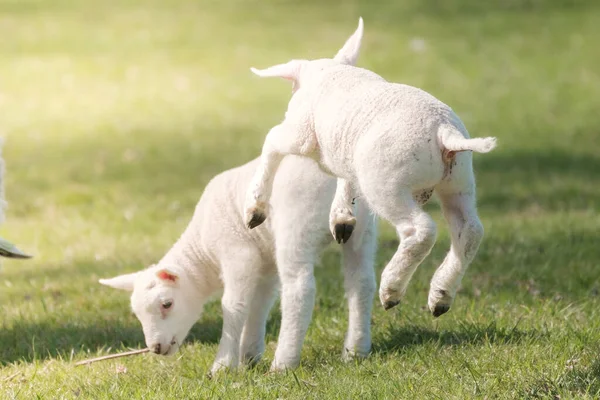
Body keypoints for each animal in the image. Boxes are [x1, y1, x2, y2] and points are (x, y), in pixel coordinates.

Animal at [101, 155, 378, 374]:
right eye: (137, 314)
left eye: (167, 304)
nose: (156, 348)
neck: (203, 252)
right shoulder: (264, 263)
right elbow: (259, 305)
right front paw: (249, 355)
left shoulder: (238, 255)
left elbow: (233, 306)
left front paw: (223, 365)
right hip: (359, 226)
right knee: (361, 282)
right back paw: (355, 350)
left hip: (296, 223)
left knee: (299, 289)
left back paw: (283, 363)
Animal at [244, 18, 496, 318]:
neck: (329, 70)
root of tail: (443, 132)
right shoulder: (347, 153)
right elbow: (345, 178)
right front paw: (341, 220)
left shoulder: (301, 133)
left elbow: (271, 142)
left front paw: (254, 209)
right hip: (459, 180)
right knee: (469, 230)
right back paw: (440, 297)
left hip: (386, 180)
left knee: (421, 230)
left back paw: (391, 289)